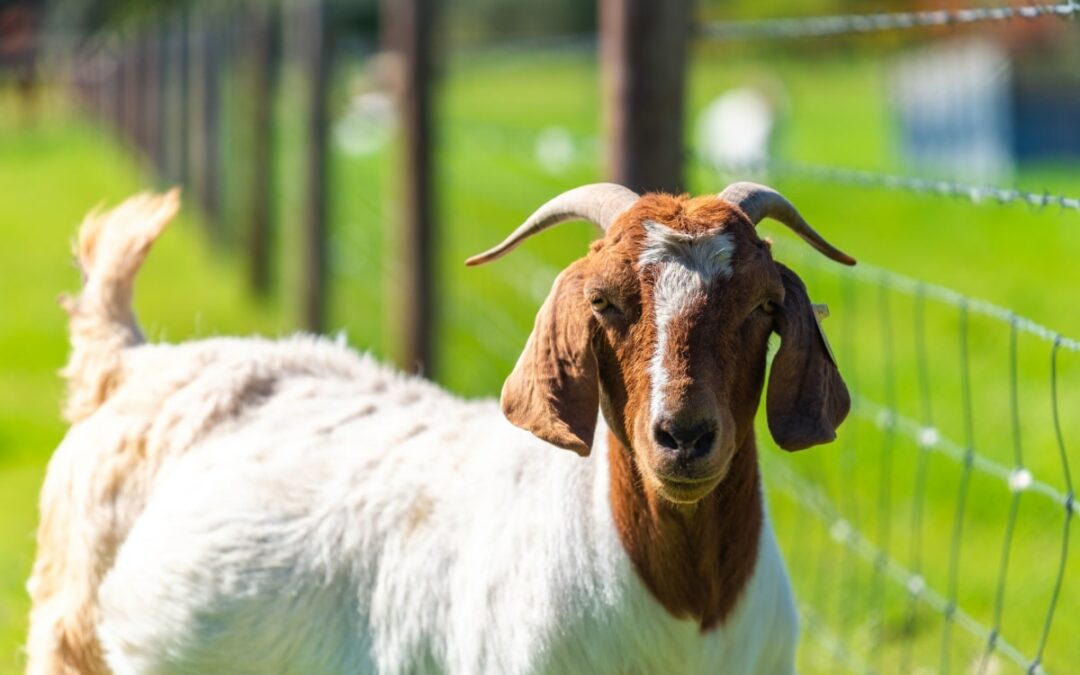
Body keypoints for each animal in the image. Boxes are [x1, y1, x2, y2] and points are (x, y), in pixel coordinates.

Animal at [27, 181, 851, 669]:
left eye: (762, 306)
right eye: (605, 302)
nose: (682, 435)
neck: (686, 609)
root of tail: (133, 361)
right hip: (69, 632)